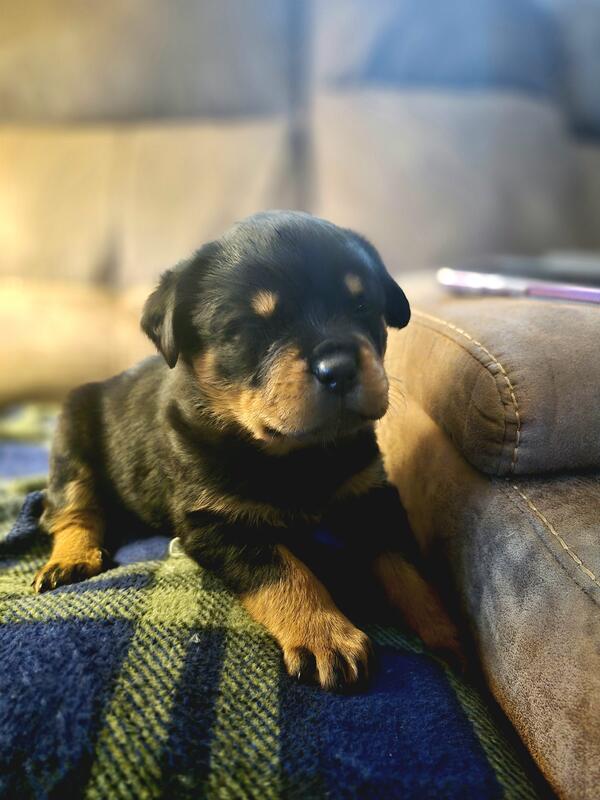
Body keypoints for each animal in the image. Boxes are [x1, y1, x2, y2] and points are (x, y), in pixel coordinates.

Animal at [33, 211, 461, 690]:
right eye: (250, 328)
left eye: (362, 306)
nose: (340, 368)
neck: (298, 454)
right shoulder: (216, 521)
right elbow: (284, 570)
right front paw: (324, 634)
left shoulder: (371, 494)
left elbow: (409, 570)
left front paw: (449, 638)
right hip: (72, 435)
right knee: (72, 508)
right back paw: (71, 558)